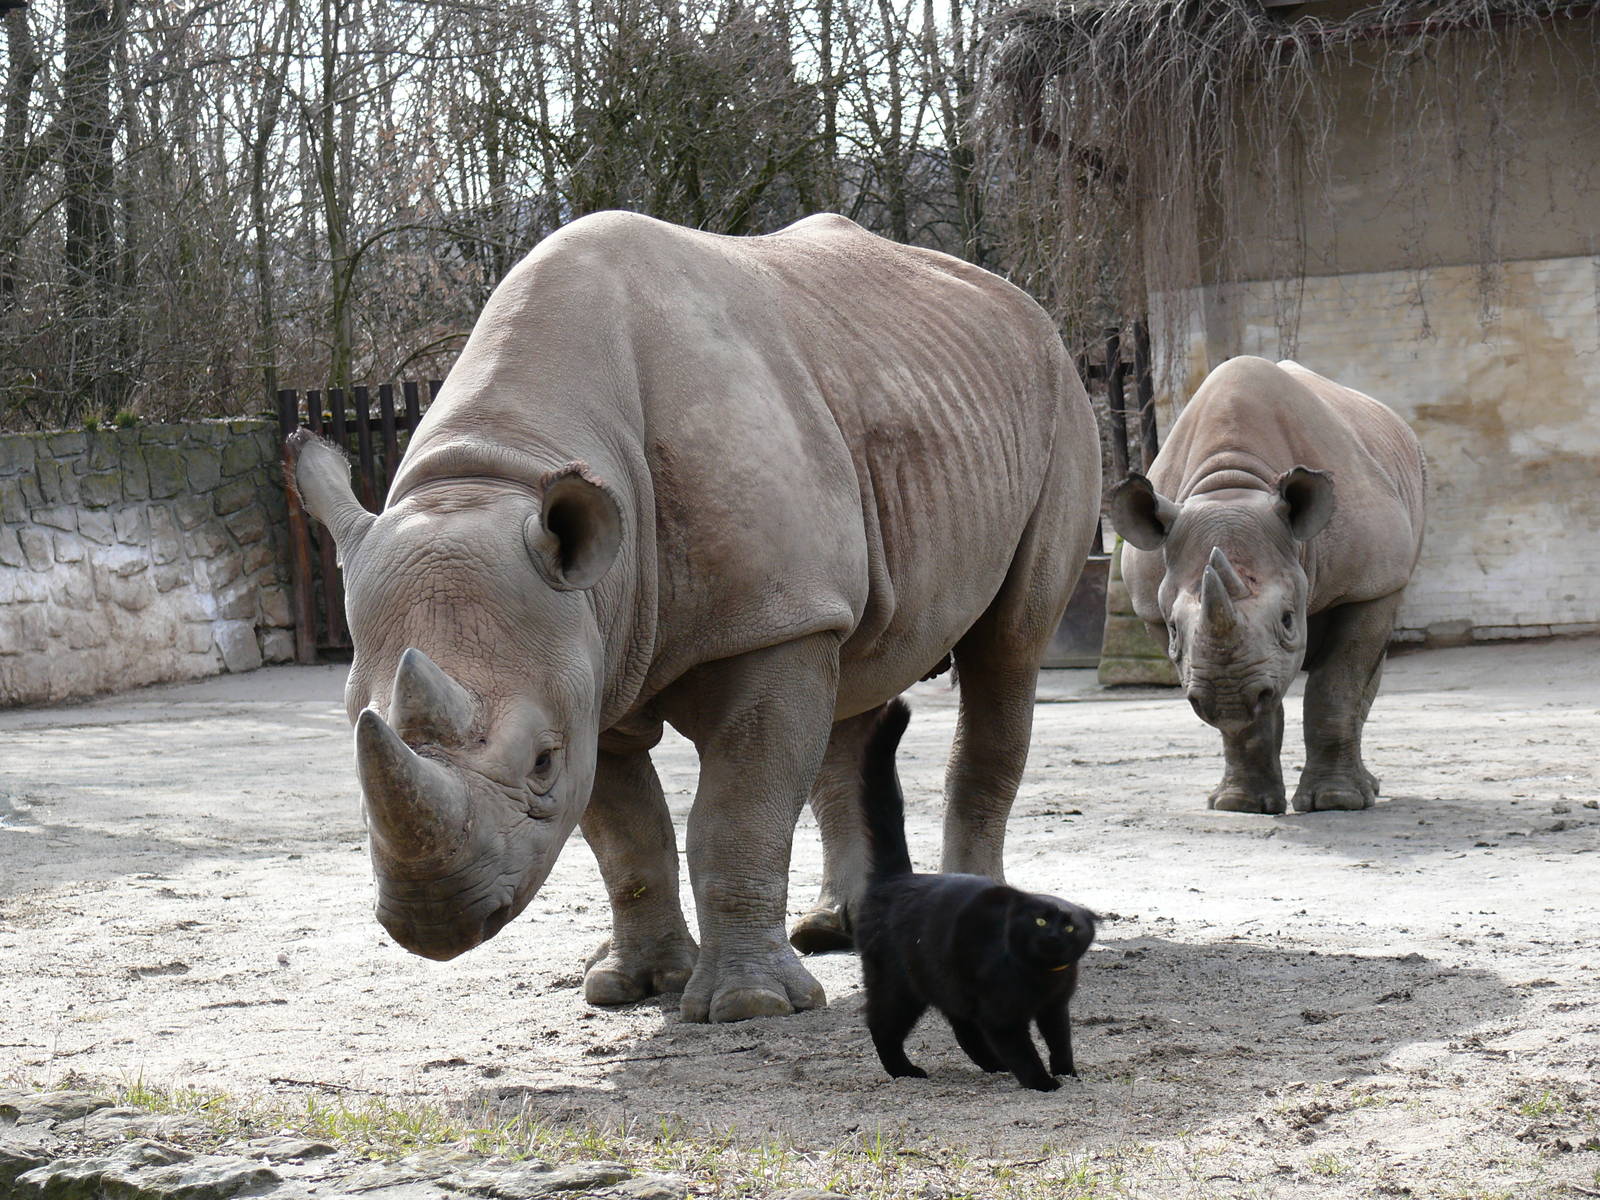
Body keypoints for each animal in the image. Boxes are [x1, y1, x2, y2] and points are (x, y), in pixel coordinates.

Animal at [289, 211, 1102, 1023]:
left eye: (542, 762)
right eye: (358, 734)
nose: (435, 919)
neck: (499, 469)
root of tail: (1025, 307)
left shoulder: (771, 621)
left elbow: (736, 814)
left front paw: (748, 1004)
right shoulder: (592, 657)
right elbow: (629, 838)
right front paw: (635, 986)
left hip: (1060, 401)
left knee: (1010, 646)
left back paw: (976, 943)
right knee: (854, 680)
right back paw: (834, 929)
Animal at [1111, 357, 1425, 814]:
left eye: (1289, 619)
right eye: (1172, 630)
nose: (1227, 696)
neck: (1231, 485)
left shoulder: (1369, 583)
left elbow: (1337, 687)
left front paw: (1335, 801)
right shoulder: (1151, 606)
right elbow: (1247, 720)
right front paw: (1238, 804)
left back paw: (1366, 791)